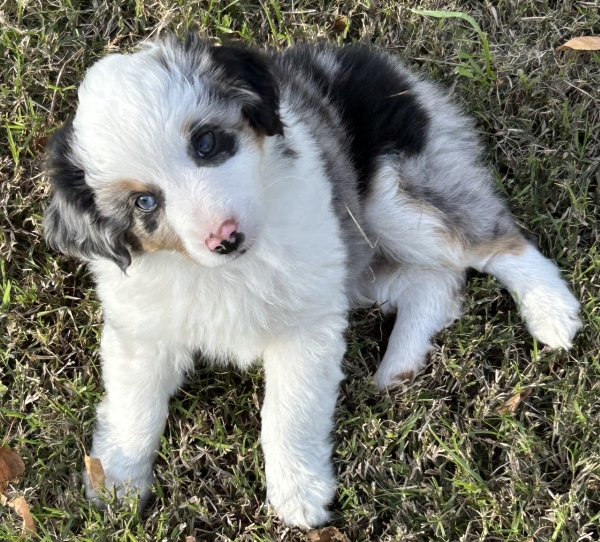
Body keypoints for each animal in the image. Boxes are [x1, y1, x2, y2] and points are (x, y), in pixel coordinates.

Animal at [43, 33, 581, 528]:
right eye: (144, 202)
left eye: (206, 143)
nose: (225, 238)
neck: (227, 271)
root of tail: (383, 63)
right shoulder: (142, 333)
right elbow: (134, 406)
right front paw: (115, 484)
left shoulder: (307, 325)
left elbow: (289, 413)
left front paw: (299, 495)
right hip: (356, 261)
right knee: (437, 284)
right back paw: (400, 365)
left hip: (395, 200)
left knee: (496, 241)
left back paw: (552, 313)